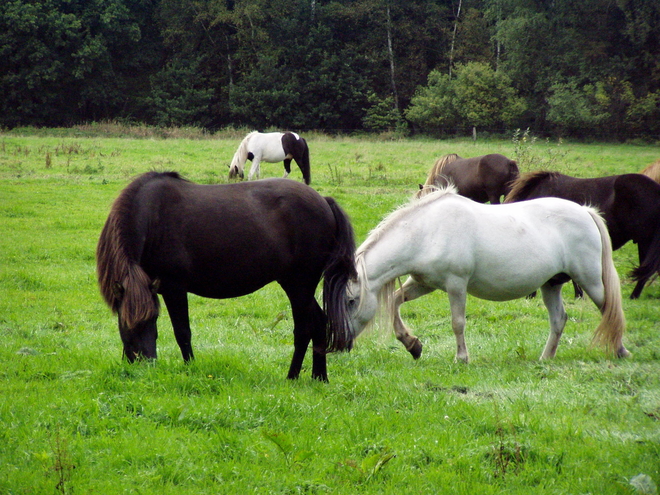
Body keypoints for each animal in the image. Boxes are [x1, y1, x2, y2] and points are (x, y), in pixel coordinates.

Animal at [96, 172, 356, 382]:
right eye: (128, 323)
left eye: (152, 319)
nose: (145, 364)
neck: (153, 218)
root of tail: (324, 201)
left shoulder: (174, 288)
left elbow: (183, 333)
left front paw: (190, 368)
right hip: (298, 286)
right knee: (319, 323)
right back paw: (319, 377)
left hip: (299, 285)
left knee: (303, 329)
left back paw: (292, 377)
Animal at [346, 184, 628, 362]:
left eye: (351, 301)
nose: (340, 343)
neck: (427, 230)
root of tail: (585, 211)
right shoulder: (422, 283)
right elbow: (394, 301)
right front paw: (412, 345)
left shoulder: (456, 285)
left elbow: (457, 322)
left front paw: (461, 358)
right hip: (551, 284)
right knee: (559, 320)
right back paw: (546, 358)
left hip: (591, 281)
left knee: (609, 309)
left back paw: (620, 351)